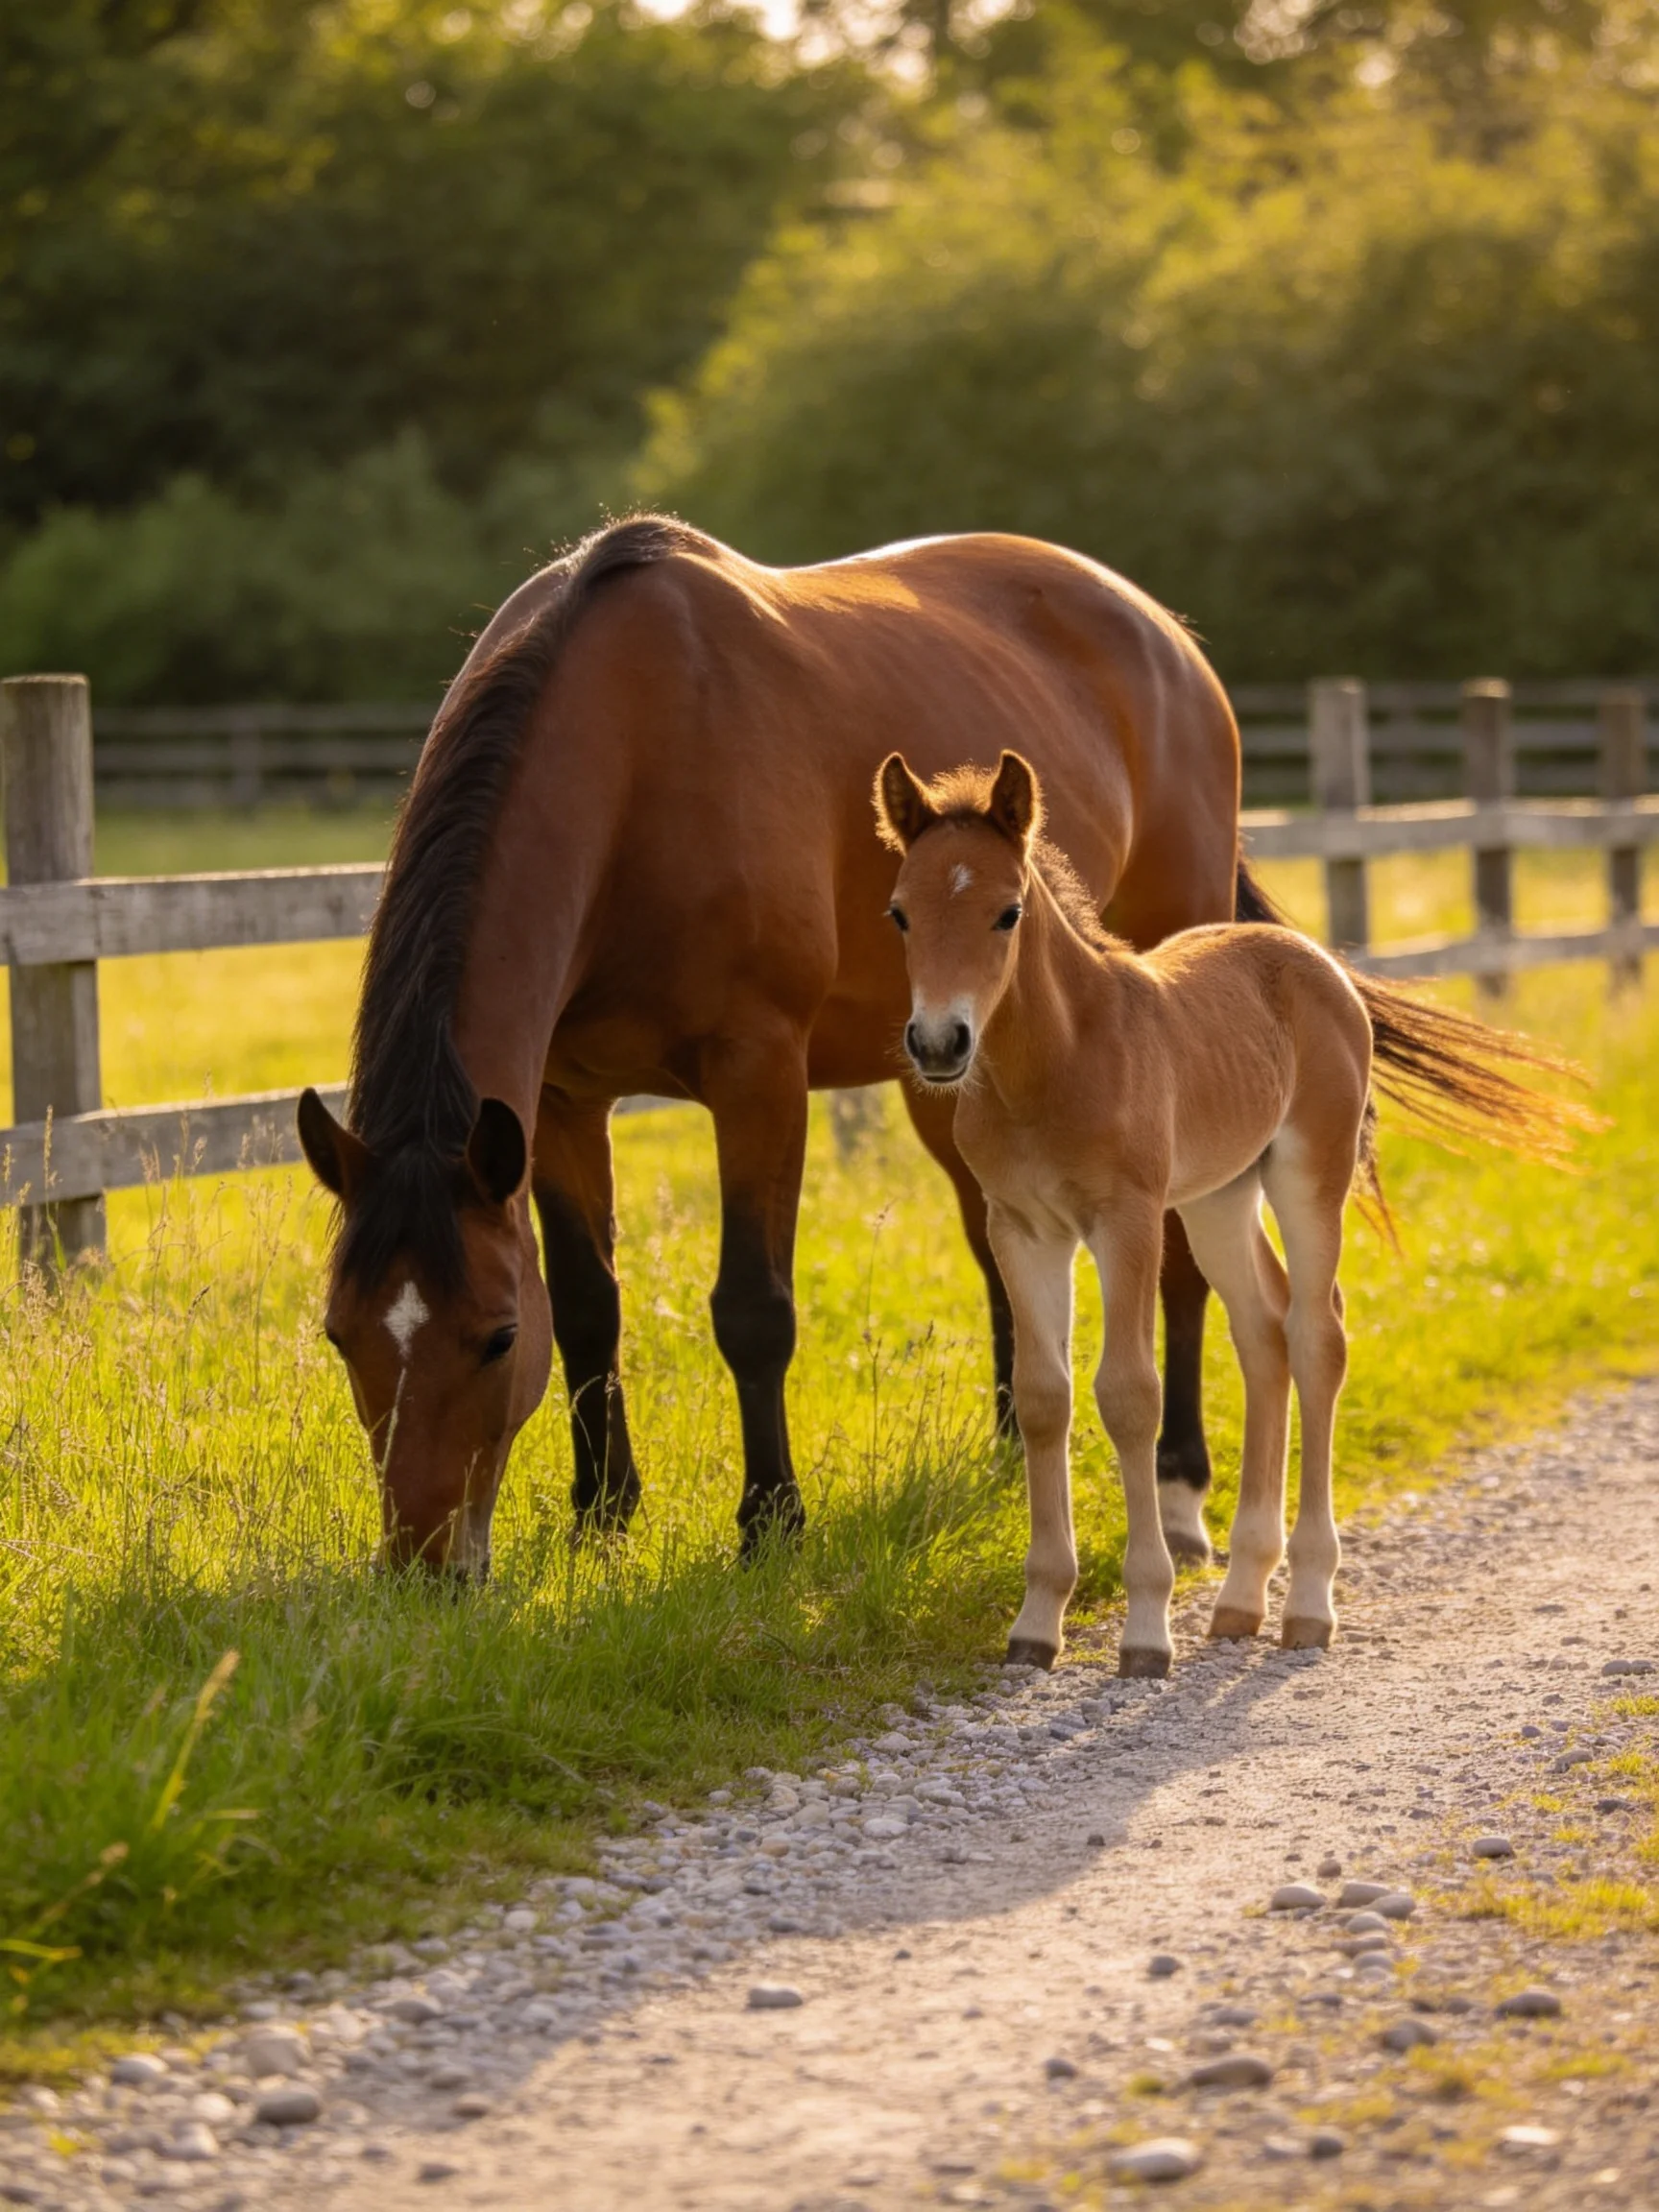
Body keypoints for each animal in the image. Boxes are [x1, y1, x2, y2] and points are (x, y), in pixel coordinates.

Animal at [297, 515, 1255, 1574]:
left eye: (499, 1337)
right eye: (341, 1334)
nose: (424, 1569)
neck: (639, 758)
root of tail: (1163, 632)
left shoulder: (759, 1074)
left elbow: (752, 1308)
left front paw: (771, 1520)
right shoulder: (559, 1100)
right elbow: (589, 1305)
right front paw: (604, 1512)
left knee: (1177, 1246)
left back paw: (1180, 1475)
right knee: (998, 1236)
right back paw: (1017, 1444)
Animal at [875, 748, 1585, 1675]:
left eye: (1008, 912)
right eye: (900, 914)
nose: (938, 1044)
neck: (1058, 1060)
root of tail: (1313, 955)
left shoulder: (1129, 1221)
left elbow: (1128, 1395)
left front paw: (1147, 1625)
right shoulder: (1020, 1228)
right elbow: (1043, 1397)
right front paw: (1037, 1621)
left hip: (1307, 1175)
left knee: (1318, 1336)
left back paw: (1308, 1602)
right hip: (1220, 1196)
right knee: (1262, 1332)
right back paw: (1243, 1597)